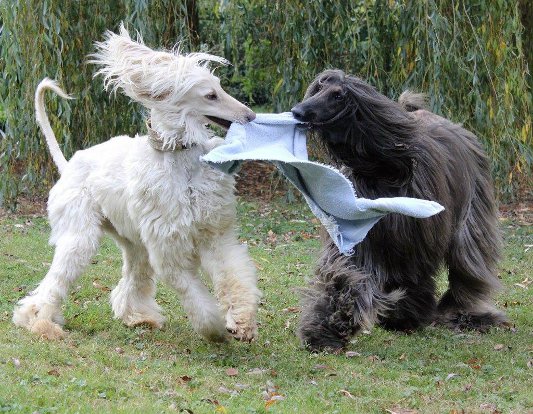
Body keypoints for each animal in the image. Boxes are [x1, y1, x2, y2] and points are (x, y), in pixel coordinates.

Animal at [13, 25, 261, 343]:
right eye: (211, 95)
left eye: (221, 88)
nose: (251, 116)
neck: (179, 159)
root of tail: (67, 167)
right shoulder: (169, 249)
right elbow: (196, 299)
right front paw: (214, 329)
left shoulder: (215, 234)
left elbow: (233, 274)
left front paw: (241, 320)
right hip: (80, 236)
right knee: (54, 283)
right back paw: (40, 322)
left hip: (133, 240)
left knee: (132, 278)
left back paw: (137, 316)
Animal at [291, 69, 507, 351]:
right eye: (318, 88)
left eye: (338, 96)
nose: (297, 111)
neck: (382, 170)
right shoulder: (362, 234)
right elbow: (344, 275)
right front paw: (325, 330)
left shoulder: (415, 235)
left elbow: (414, 274)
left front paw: (406, 317)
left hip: (472, 211)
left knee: (468, 260)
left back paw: (465, 313)